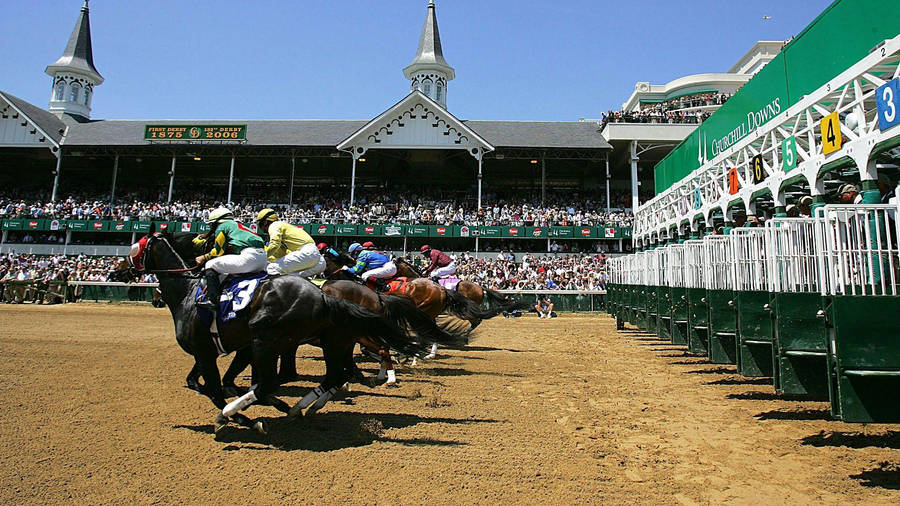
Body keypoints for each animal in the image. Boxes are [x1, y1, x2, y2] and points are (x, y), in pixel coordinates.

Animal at [115, 233, 442, 434]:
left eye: (133, 250)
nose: (118, 271)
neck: (188, 291)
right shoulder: (228, 347)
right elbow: (208, 381)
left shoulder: (226, 347)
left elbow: (220, 385)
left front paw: (240, 411)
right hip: (337, 340)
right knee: (341, 371)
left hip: (330, 337)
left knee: (372, 354)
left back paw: (386, 376)